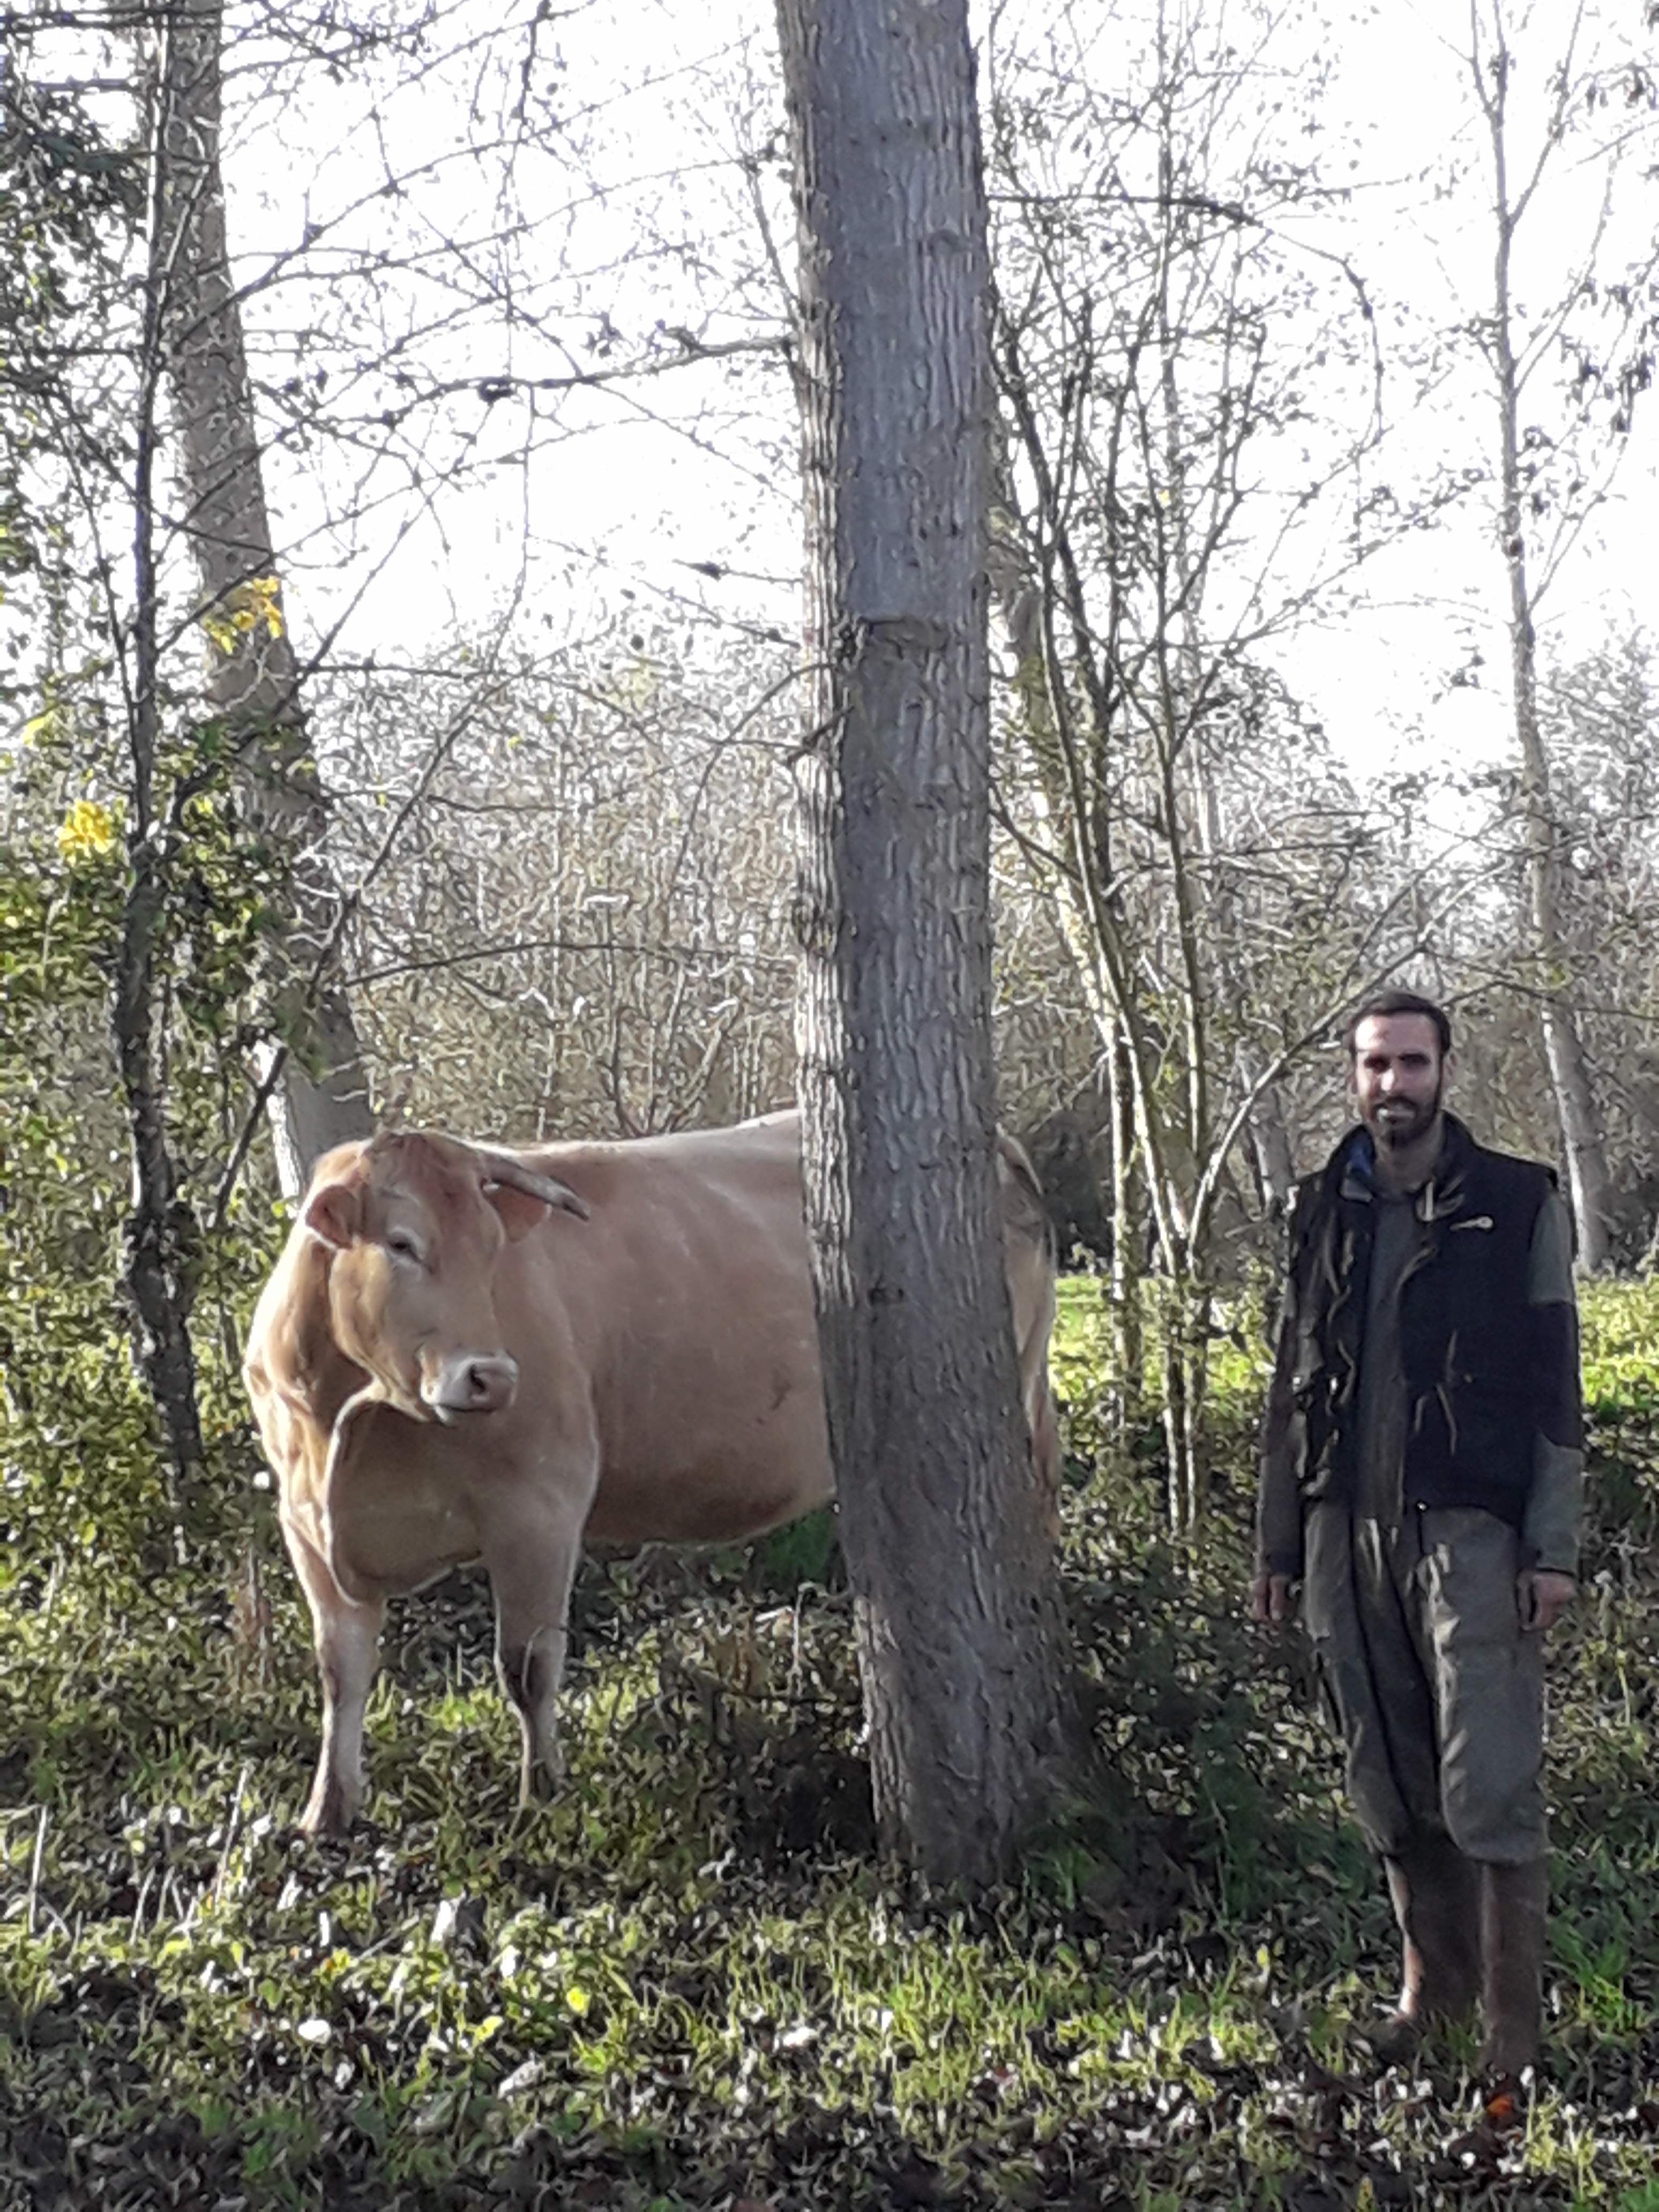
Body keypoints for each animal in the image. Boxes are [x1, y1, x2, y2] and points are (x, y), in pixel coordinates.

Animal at [240, 1115, 1057, 1840]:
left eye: (495, 1249)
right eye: (401, 1244)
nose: (492, 1376)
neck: (349, 1420)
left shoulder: (538, 1506)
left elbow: (527, 1667)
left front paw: (541, 1801)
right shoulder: (304, 1526)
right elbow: (340, 1672)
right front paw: (326, 1812)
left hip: (1016, 1390)